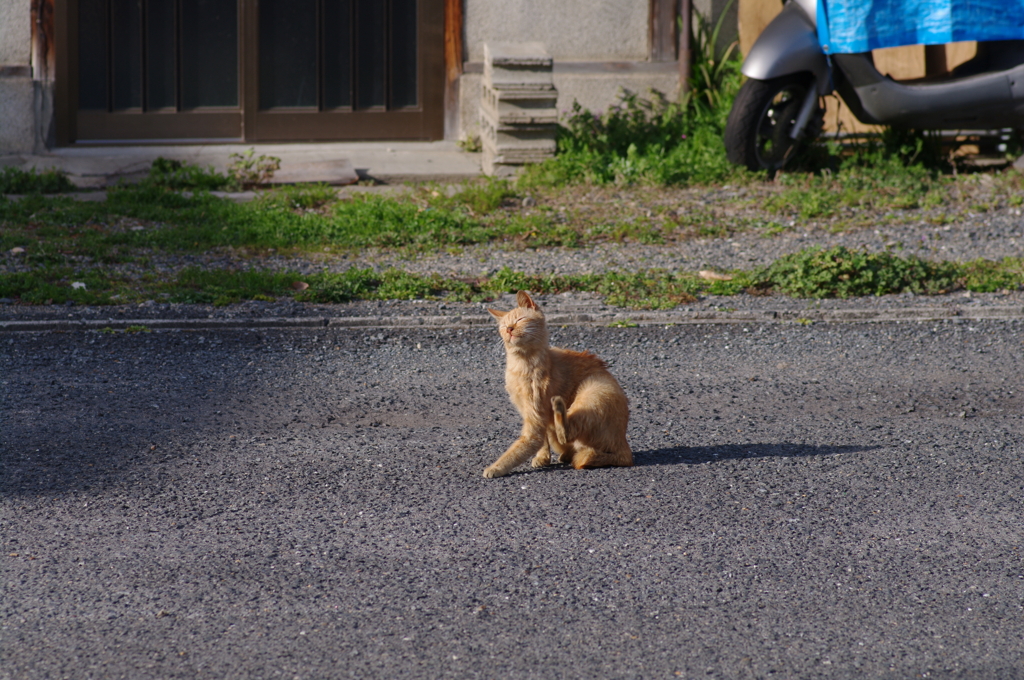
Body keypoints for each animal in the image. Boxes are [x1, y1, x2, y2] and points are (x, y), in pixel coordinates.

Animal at [481, 288, 630, 475]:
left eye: (520, 320)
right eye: (503, 326)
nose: (509, 329)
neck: (520, 364)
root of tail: (625, 449)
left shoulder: (535, 419)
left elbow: (520, 447)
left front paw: (496, 467)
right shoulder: (530, 413)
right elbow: (542, 442)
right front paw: (542, 458)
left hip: (593, 392)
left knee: (566, 432)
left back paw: (559, 407)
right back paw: (566, 454)